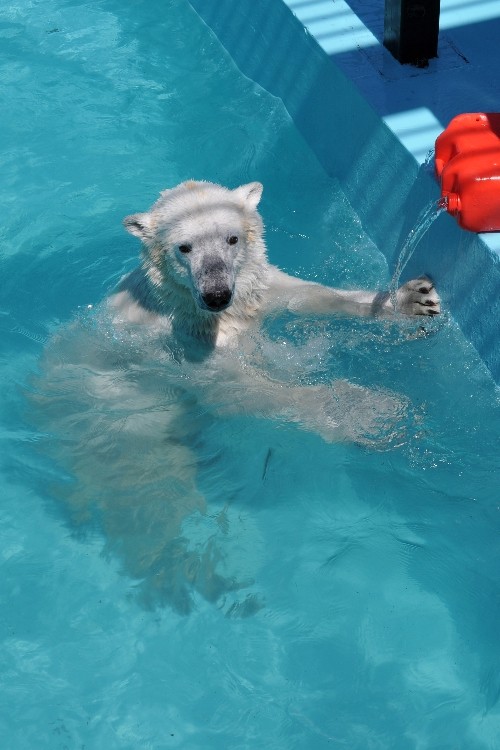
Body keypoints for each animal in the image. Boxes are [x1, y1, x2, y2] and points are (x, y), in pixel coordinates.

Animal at [32, 184, 438, 616]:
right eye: (184, 247)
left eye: (232, 239)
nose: (216, 295)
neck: (196, 311)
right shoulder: (176, 344)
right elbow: (239, 389)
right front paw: (369, 412)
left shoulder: (256, 291)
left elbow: (306, 296)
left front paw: (412, 300)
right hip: (121, 427)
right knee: (150, 497)